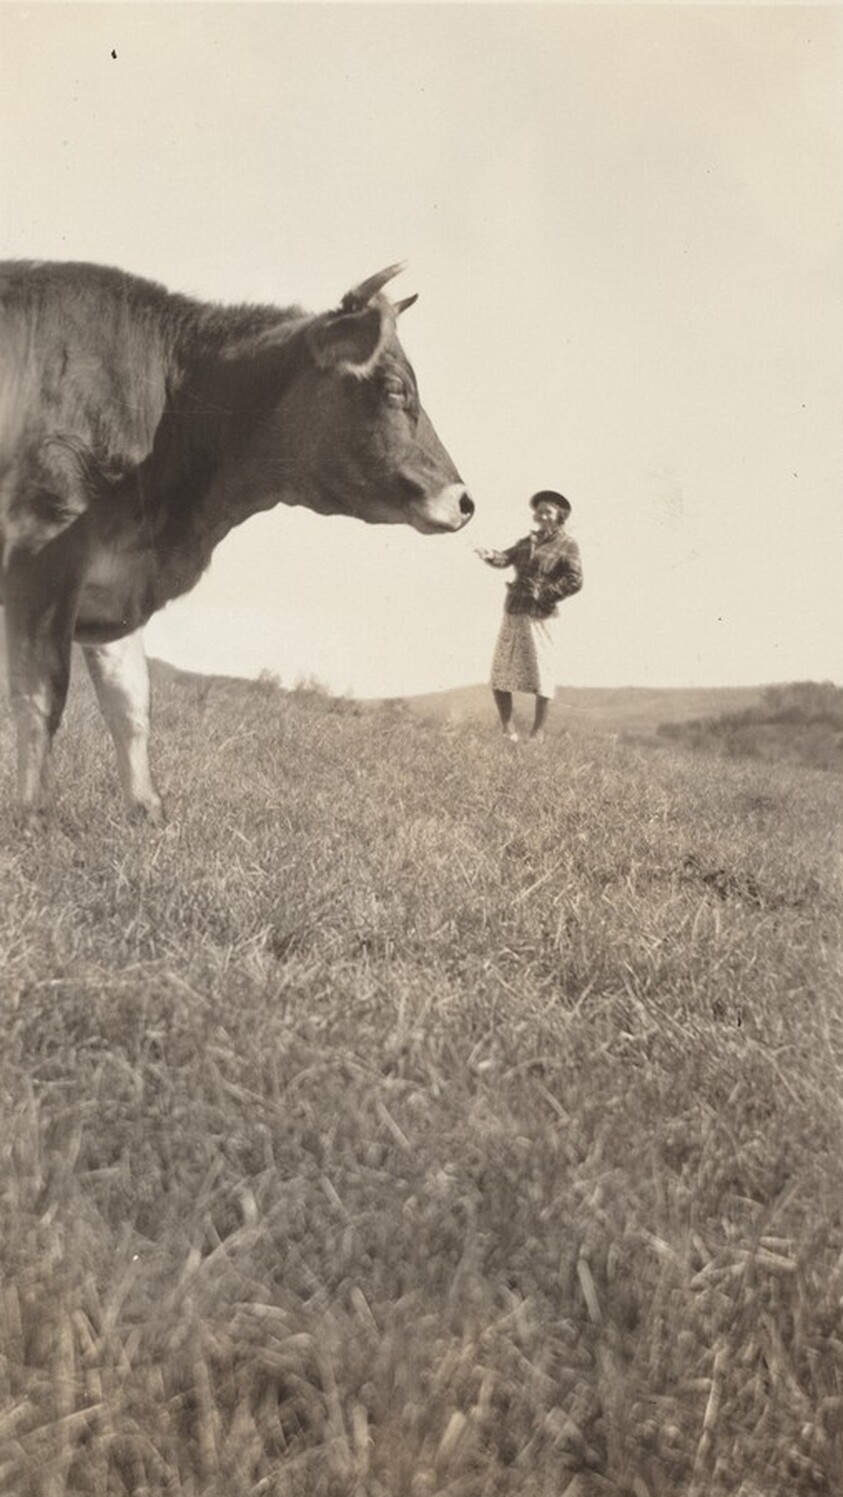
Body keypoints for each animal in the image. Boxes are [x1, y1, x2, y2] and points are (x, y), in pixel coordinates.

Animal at [0, 260, 473, 822]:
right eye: (395, 390)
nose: (465, 501)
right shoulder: (45, 556)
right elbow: (42, 697)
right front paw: (32, 816)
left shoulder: (113, 583)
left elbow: (130, 701)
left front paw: (147, 809)